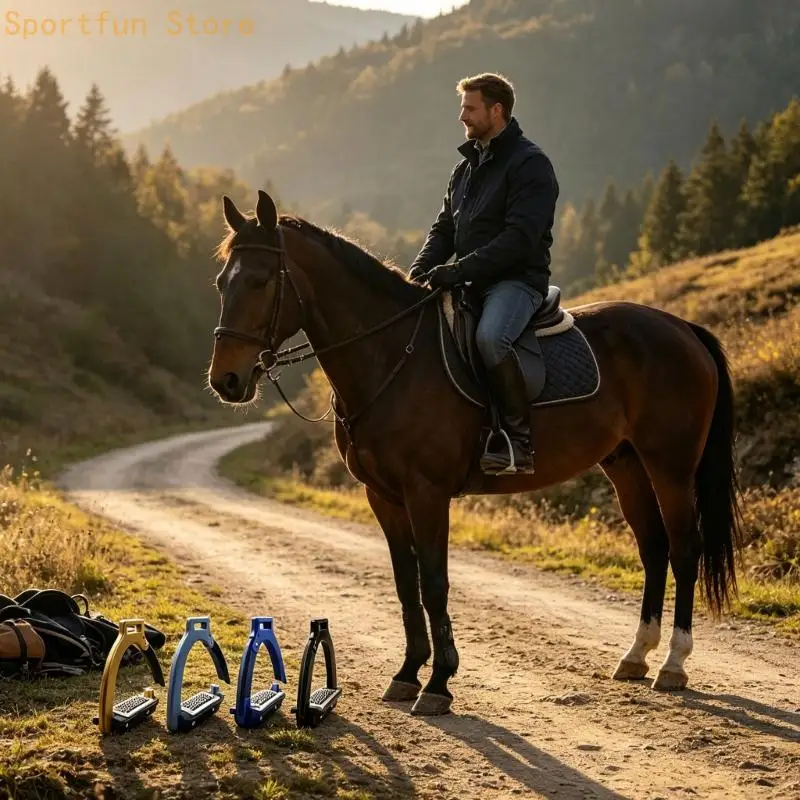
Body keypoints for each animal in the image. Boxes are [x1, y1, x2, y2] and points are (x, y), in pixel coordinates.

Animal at [207, 189, 743, 716]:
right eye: (220, 283)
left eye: (259, 281)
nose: (225, 380)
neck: (392, 356)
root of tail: (682, 328)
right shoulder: (383, 497)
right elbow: (405, 583)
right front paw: (407, 673)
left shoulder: (426, 493)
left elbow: (433, 582)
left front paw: (438, 682)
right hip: (626, 464)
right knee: (653, 548)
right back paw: (636, 656)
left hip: (671, 466)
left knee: (684, 548)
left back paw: (673, 663)